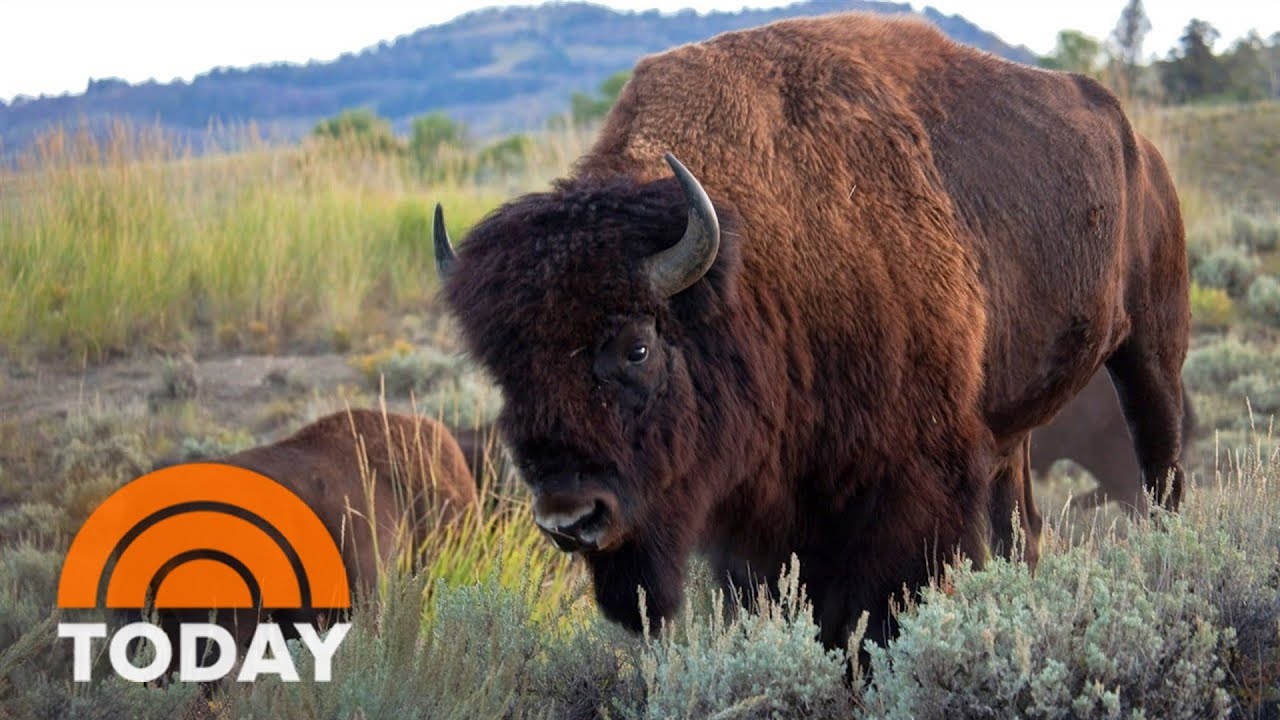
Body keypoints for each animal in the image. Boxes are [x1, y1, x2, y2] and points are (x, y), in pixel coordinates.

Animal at [434, 14, 1189, 647]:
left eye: (637, 348)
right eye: (505, 373)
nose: (570, 518)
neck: (752, 264)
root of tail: (1140, 146)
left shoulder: (909, 489)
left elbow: (872, 614)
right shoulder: (754, 522)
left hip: (1151, 355)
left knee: (1161, 476)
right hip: (1012, 423)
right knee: (1021, 527)